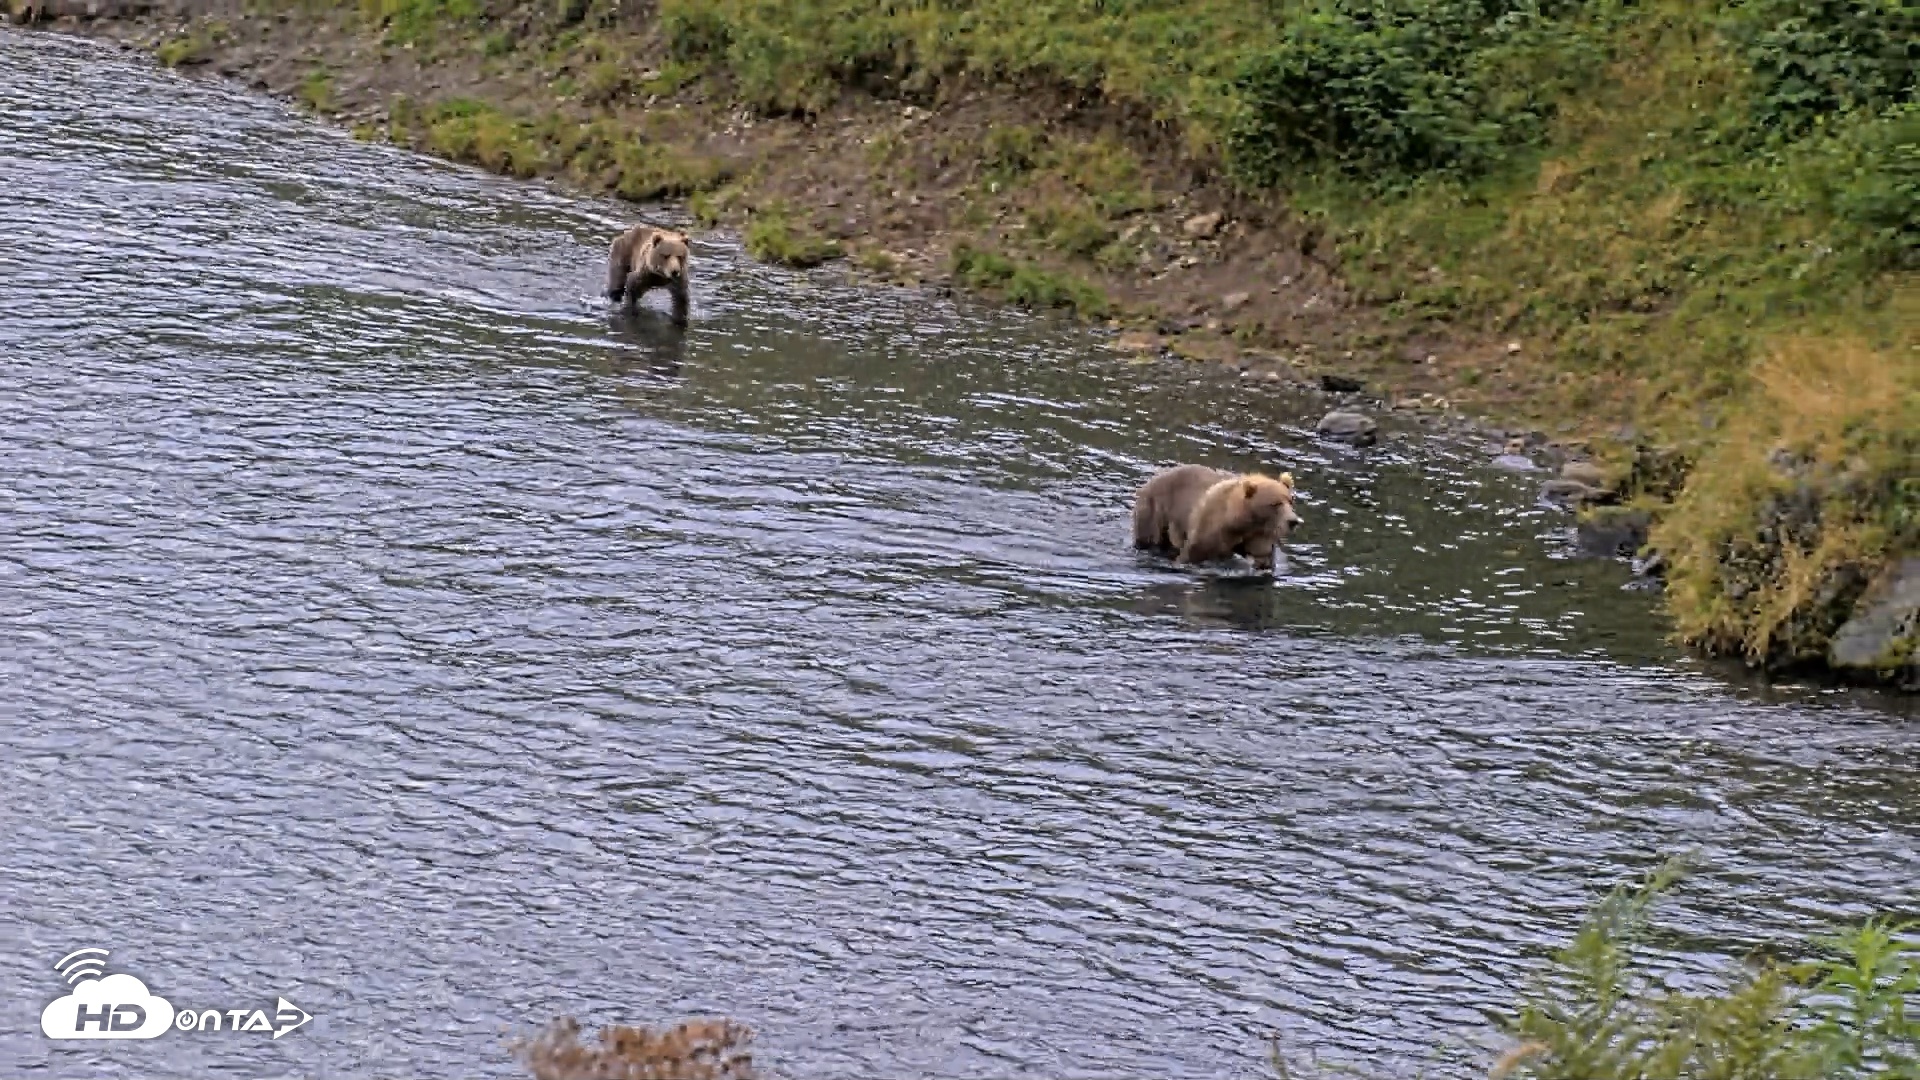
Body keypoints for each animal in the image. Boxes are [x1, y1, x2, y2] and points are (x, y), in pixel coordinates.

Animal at [1131, 463, 1301, 572]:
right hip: (1155, 510)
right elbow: (1191, 554)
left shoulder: (1259, 535)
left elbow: (1262, 556)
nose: (1293, 521)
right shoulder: (1210, 530)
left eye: (1290, 500)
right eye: (1275, 503)